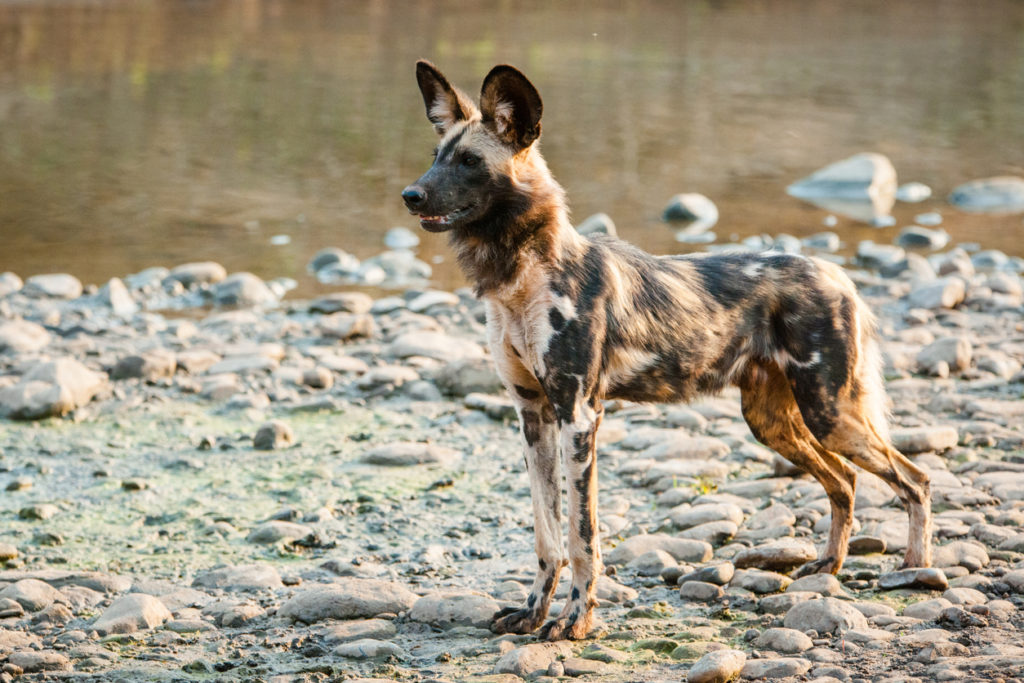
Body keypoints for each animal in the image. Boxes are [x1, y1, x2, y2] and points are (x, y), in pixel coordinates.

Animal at [403, 62, 933, 643]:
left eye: (470, 162)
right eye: (435, 156)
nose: (410, 195)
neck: (523, 275)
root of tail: (837, 274)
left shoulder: (579, 418)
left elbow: (582, 539)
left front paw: (575, 621)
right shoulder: (533, 417)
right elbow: (547, 538)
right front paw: (533, 613)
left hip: (829, 413)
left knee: (914, 478)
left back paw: (916, 569)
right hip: (775, 422)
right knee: (845, 480)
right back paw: (829, 566)